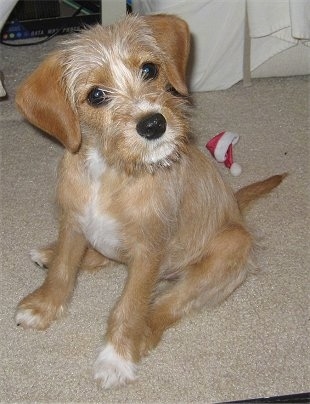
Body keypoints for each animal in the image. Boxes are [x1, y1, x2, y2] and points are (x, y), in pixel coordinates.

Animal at [14, 15, 286, 388]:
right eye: (96, 95)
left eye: (149, 69)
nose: (154, 124)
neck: (111, 170)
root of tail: (236, 208)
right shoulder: (73, 221)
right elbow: (63, 270)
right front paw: (43, 306)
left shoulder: (149, 251)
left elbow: (130, 305)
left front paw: (117, 356)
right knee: (100, 258)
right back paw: (50, 253)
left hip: (231, 244)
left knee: (167, 305)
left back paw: (141, 336)